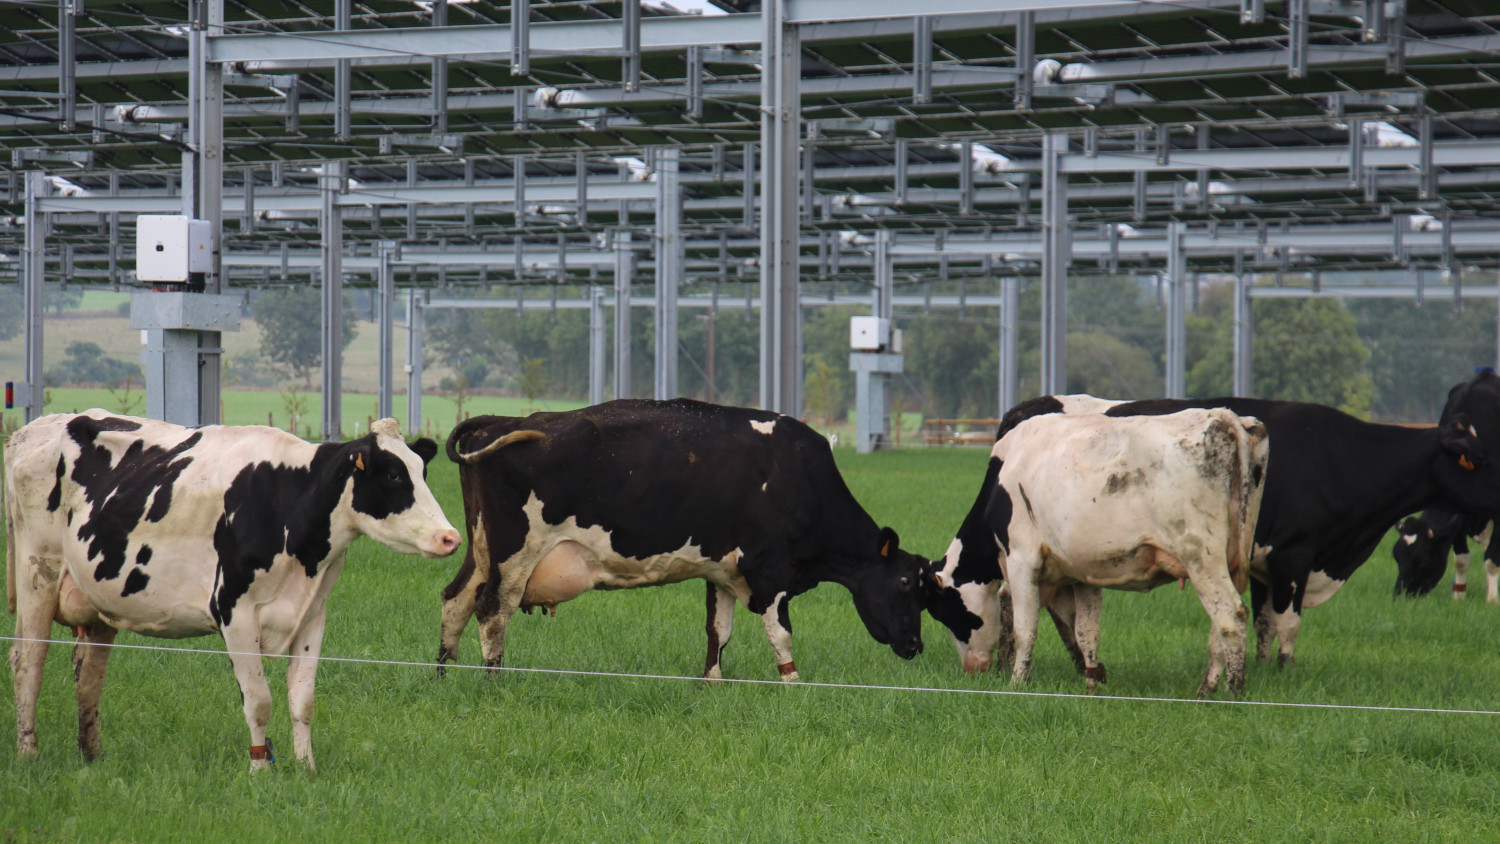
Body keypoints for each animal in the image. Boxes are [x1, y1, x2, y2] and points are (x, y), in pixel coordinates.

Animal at [4, 410, 462, 773]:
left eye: (422, 471)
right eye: (393, 475)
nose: (450, 537)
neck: (288, 501)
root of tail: (34, 428)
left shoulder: (312, 615)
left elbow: (303, 700)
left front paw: (307, 769)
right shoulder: (234, 612)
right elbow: (259, 700)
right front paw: (261, 770)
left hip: (99, 597)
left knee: (90, 672)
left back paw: (93, 755)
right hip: (38, 572)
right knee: (28, 659)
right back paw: (28, 753)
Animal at [435, 398, 924, 683]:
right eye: (905, 584)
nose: (916, 646)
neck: (801, 477)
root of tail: (505, 421)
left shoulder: (722, 572)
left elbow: (718, 631)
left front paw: (713, 684)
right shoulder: (770, 573)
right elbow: (781, 635)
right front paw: (793, 686)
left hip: (482, 551)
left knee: (455, 599)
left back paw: (441, 675)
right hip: (515, 553)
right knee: (492, 609)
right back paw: (493, 683)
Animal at [924, 407, 1266, 692]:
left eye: (944, 612)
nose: (972, 669)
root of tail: (1220, 416)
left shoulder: (1022, 560)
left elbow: (1025, 628)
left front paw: (1017, 681)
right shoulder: (1083, 574)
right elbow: (1086, 631)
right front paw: (1092, 681)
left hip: (1200, 557)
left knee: (1230, 616)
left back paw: (1229, 690)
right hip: (1230, 561)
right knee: (1217, 627)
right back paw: (1210, 686)